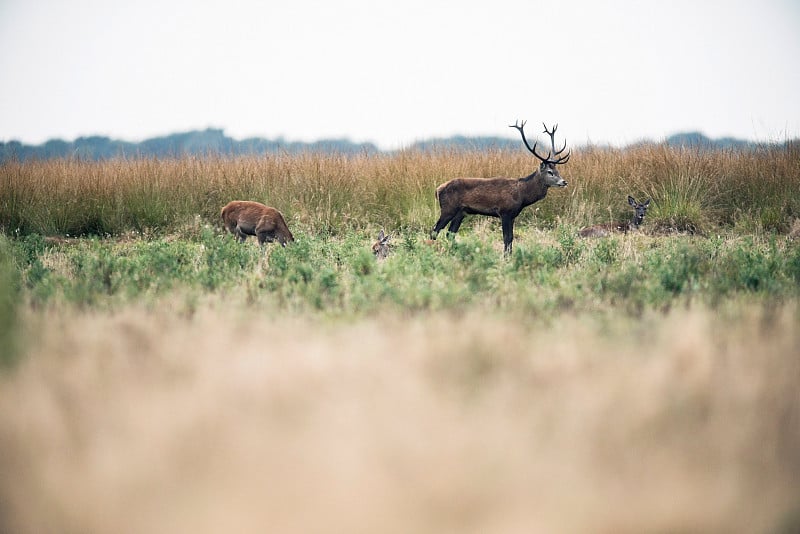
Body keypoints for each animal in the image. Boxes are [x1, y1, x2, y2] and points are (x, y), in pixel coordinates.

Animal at [432, 121, 568, 255]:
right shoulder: (504, 212)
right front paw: (505, 257)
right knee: (435, 230)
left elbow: (511, 238)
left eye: (557, 170)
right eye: (550, 172)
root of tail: (437, 190)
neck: (522, 195)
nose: (564, 182)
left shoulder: (513, 215)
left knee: (450, 233)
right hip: (448, 208)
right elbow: (506, 238)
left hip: (461, 212)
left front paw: (509, 256)